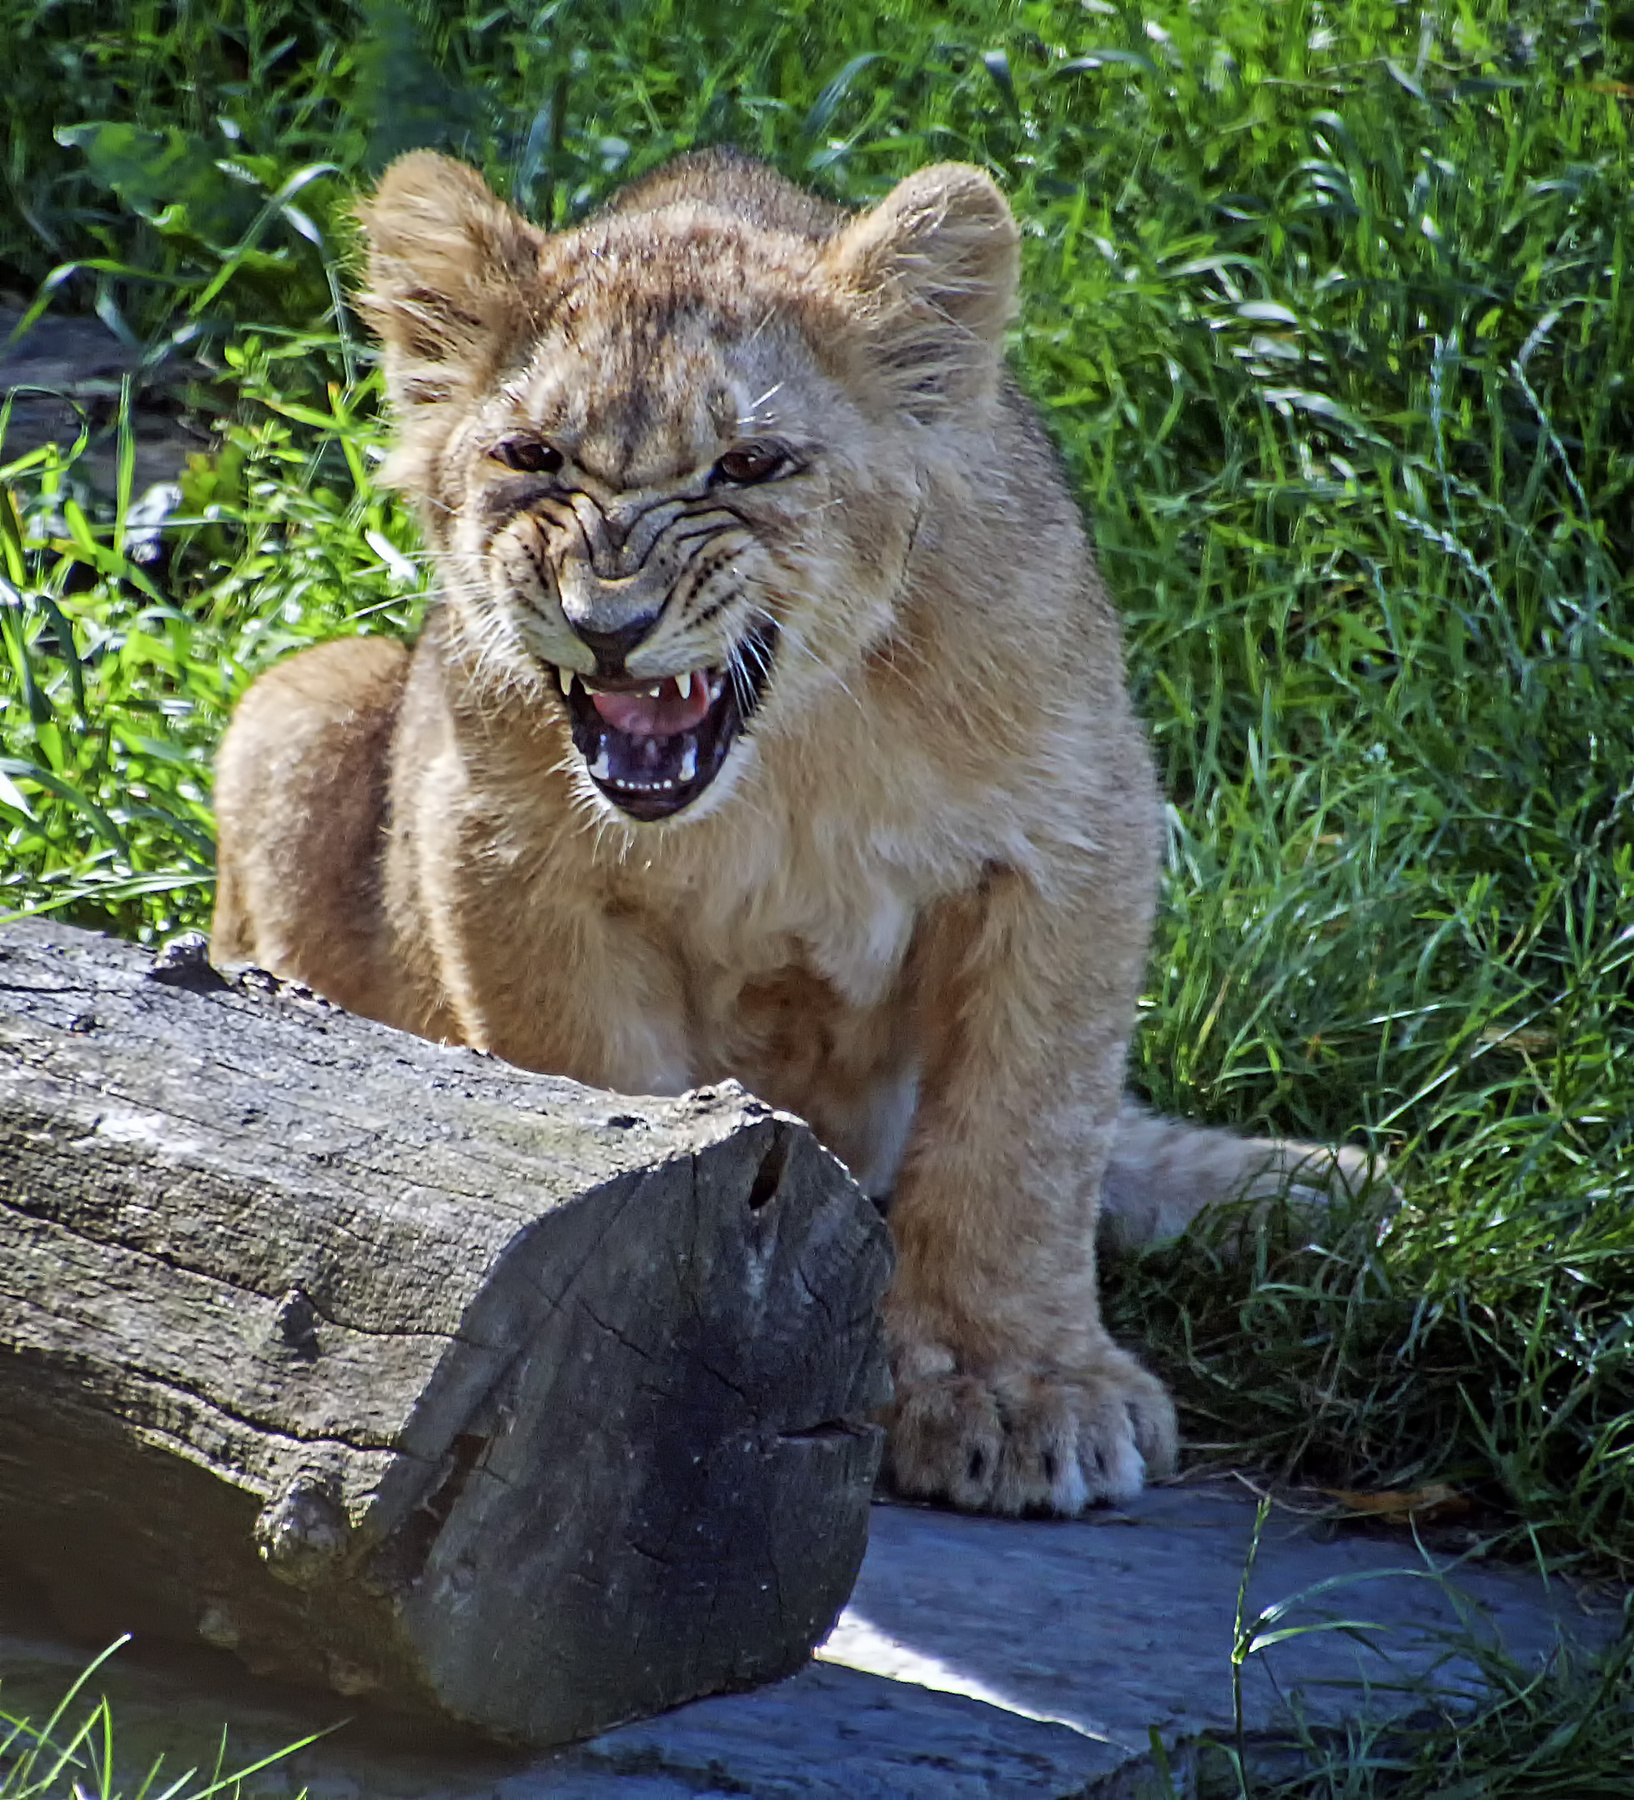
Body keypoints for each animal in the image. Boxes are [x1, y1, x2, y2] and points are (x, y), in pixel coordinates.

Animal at [213, 148, 1373, 1515]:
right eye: (533, 455)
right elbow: (590, 1092)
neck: (787, 757)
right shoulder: (498, 850)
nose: (608, 625)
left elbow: (1023, 1141)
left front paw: (1013, 1389)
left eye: (748, 465)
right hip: (295, 707)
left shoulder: (1077, 835)